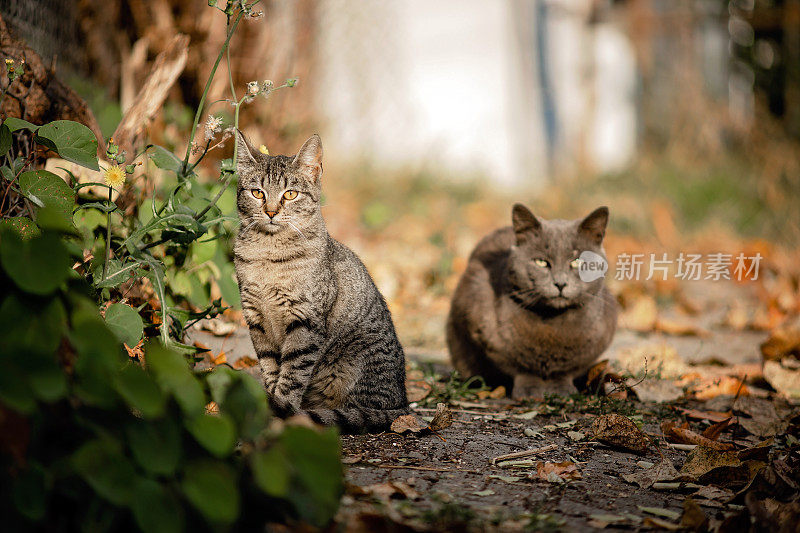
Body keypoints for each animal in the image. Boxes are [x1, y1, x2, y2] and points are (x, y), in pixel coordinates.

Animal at [231, 132, 406, 432]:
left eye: (290, 194)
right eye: (257, 193)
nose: (271, 212)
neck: (268, 254)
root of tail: (403, 403)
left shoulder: (305, 321)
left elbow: (292, 375)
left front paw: (279, 410)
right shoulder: (256, 319)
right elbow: (270, 366)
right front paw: (269, 401)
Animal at [446, 204, 616, 400]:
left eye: (577, 262)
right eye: (541, 262)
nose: (560, 283)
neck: (551, 322)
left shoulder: (597, 340)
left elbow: (566, 369)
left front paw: (561, 389)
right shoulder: (487, 334)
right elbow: (521, 366)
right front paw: (529, 389)